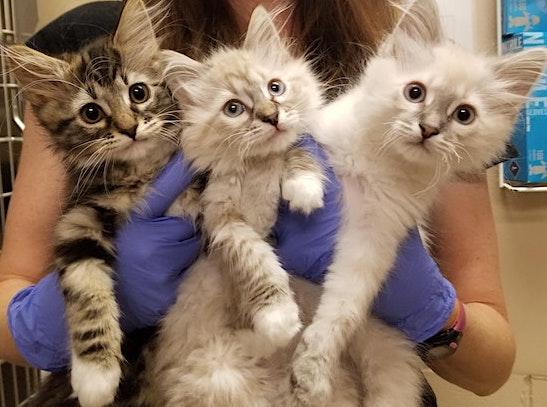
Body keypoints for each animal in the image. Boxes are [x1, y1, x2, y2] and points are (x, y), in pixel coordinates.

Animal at [4, 1, 197, 406]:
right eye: (91, 113)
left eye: (138, 93)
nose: (129, 128)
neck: (142, 174)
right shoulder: (77, 221)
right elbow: (86, 289)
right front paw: (96, 375)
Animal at [288, 0, 547, 406]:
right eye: (415, 92)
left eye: (464, 115)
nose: (429, 129)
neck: (378, 162)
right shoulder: (316, 137)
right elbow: (299, 154)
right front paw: (304, 192)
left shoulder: (374, 238)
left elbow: (342, 309)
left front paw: (313, 369)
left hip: (389, 357)